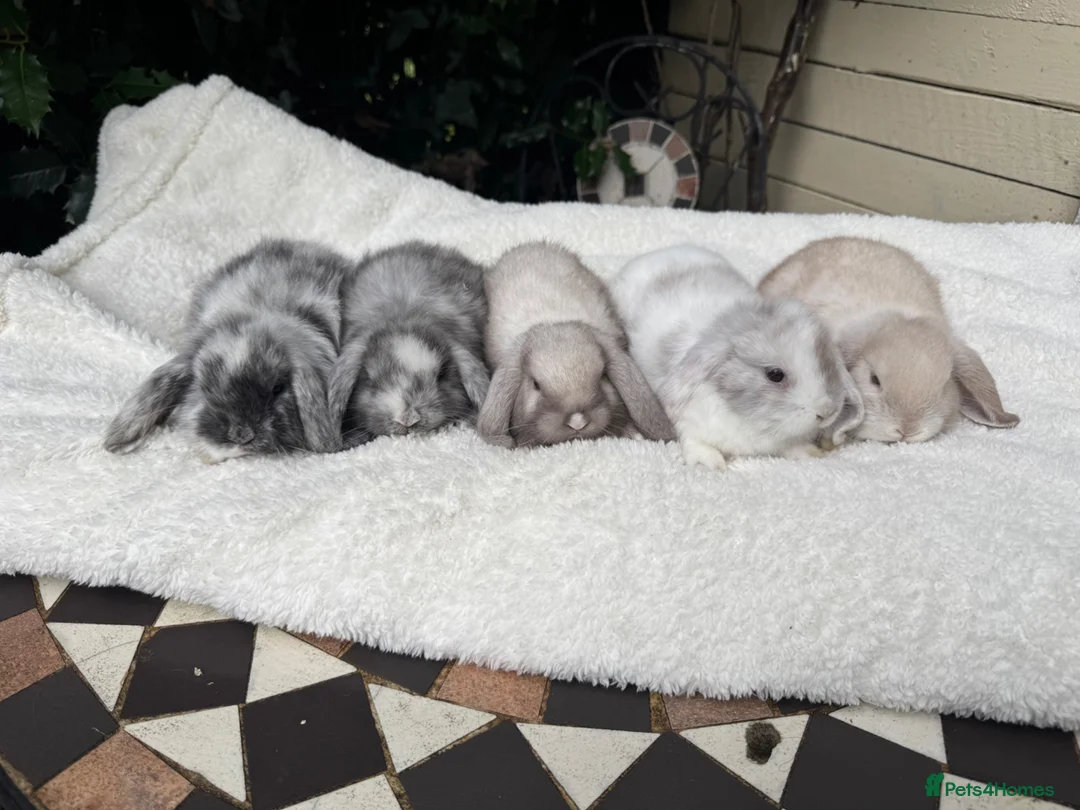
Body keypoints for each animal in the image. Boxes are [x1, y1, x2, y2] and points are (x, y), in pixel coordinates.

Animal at [610, 244, 864, 471]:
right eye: (775, 375)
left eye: (825, 363)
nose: (827, 412)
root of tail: (657, 253)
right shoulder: (689, 423)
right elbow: (693, 440)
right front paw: (708, 463)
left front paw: (809, 453)